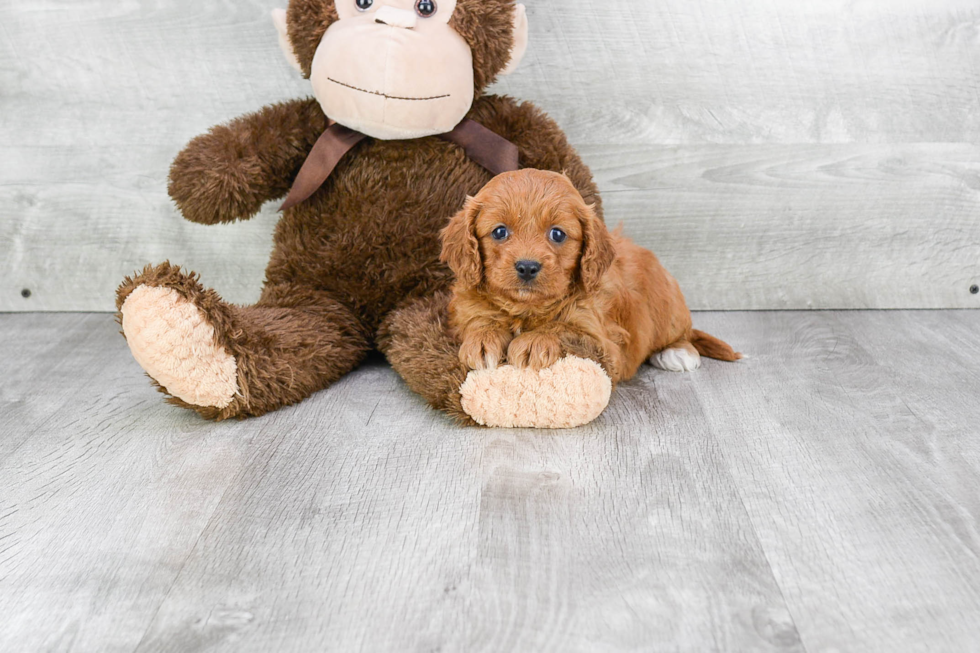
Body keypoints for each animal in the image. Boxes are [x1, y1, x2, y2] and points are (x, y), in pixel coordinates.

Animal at [440, 168, 740, 384]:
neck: (526, 309)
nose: (527, 267)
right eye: (500, 232)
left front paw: (534, 341)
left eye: (557, 234)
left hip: (669, 310)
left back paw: (678, 352)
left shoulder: (604, 342)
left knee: (682, 333)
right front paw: (483, 338)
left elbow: (564, 329)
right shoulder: (465, 310)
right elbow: (479, 319)